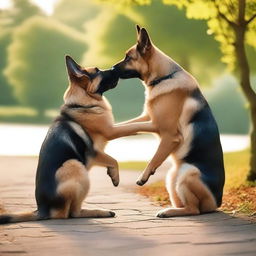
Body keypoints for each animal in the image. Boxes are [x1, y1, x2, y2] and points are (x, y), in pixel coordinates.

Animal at [0, 55, 154, 223]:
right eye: (97, 71)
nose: (115, 68)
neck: (82, 102)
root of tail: (43, 210)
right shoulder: (104, 141)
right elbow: (120, 147)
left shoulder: (103, 143)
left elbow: (129, 126)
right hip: (76, 166)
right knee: (72, 213)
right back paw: (99, 211)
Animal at [113, 26, 225, 217]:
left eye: (129, 57)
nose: (112, 68)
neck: (165, 76)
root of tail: (217, 203)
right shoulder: (147, 117)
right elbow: (125, 125)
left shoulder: (164, 130)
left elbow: (146, 144)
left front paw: (143, 176)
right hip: (172, 177)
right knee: (185, 204)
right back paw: (171, 209)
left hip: (187, 173)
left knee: (194, 210)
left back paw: (168, 212)